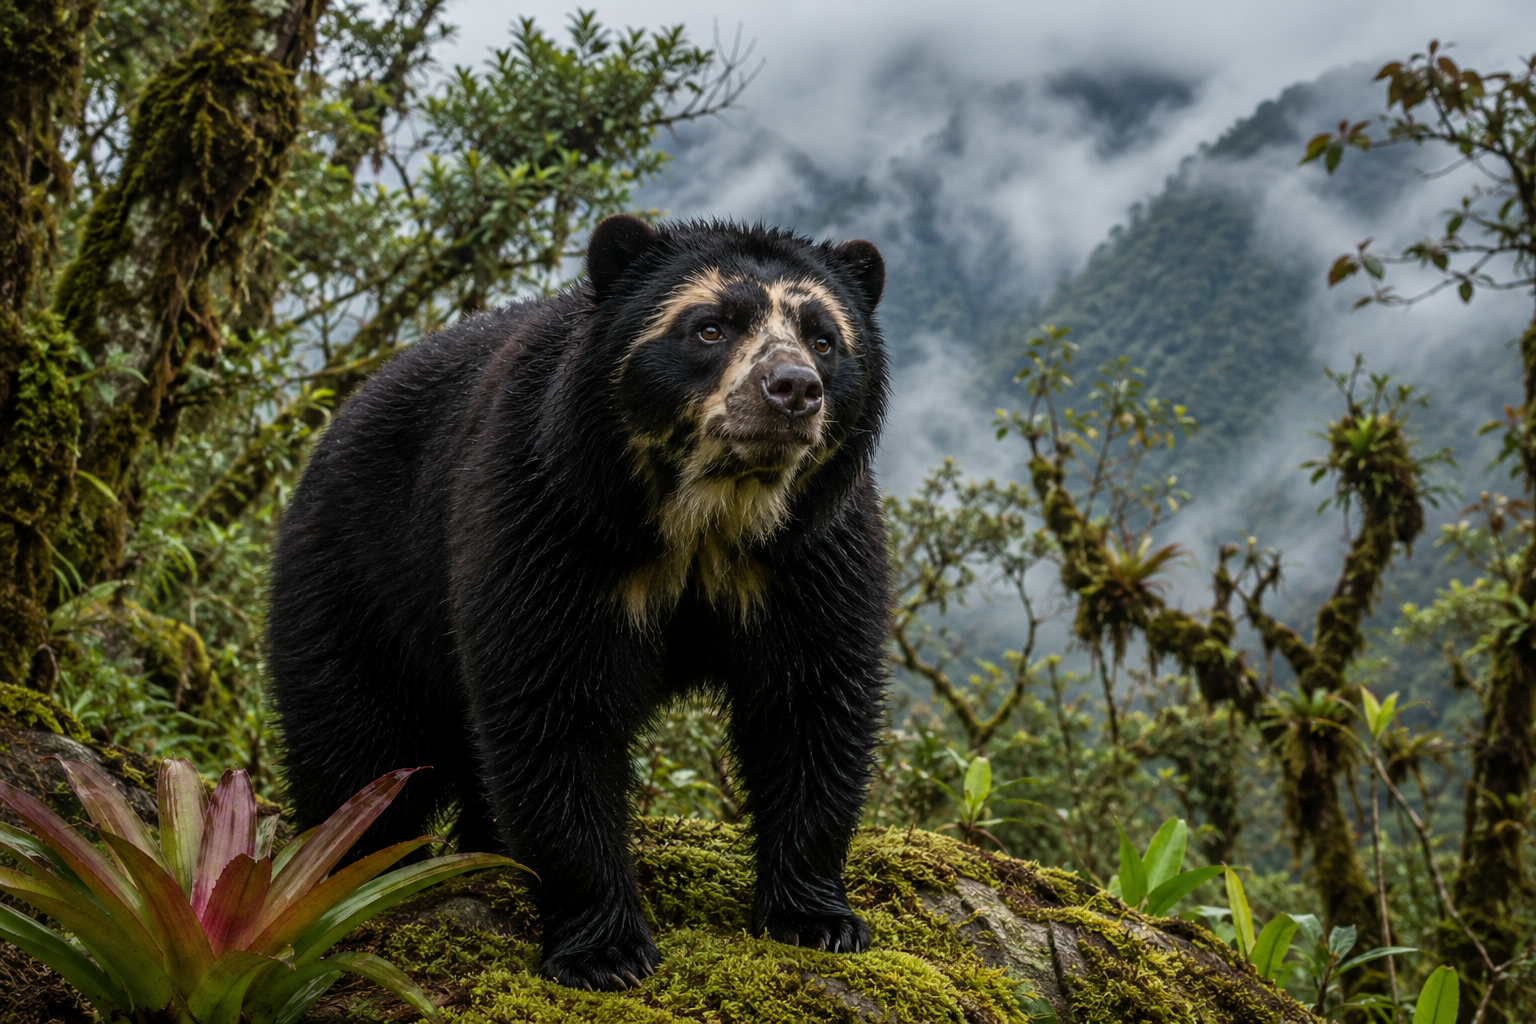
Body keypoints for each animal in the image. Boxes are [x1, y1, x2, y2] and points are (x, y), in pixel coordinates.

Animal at [267, 215, 891, 991]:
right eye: (710, 328)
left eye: (824, 339)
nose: (792, 389)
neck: (712, 513)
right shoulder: (551, 518)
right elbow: (554, 708)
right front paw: (606, 954)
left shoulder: (809, 553)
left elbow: (812, 701)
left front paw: (818, 922)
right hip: (357, 585)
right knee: (357, 745)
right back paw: (345, 876)